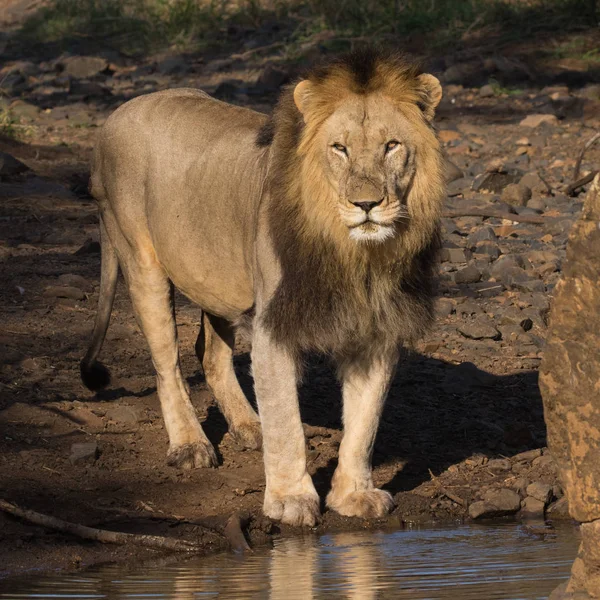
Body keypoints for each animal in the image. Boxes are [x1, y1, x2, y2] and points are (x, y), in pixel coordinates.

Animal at [81, 49, 446, 528]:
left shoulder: (377, 332)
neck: (355, 257)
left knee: (210, 353)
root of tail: (114, 116)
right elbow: (286, 421)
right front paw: (290, 501)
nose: (366, 204)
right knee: (167, 364)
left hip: (219, 276)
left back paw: (248, 426)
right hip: (140, 258)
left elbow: (364, 423)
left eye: (392, 146)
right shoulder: (273, 326)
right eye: (340, 148)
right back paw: (190, 445)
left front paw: (353, 495)